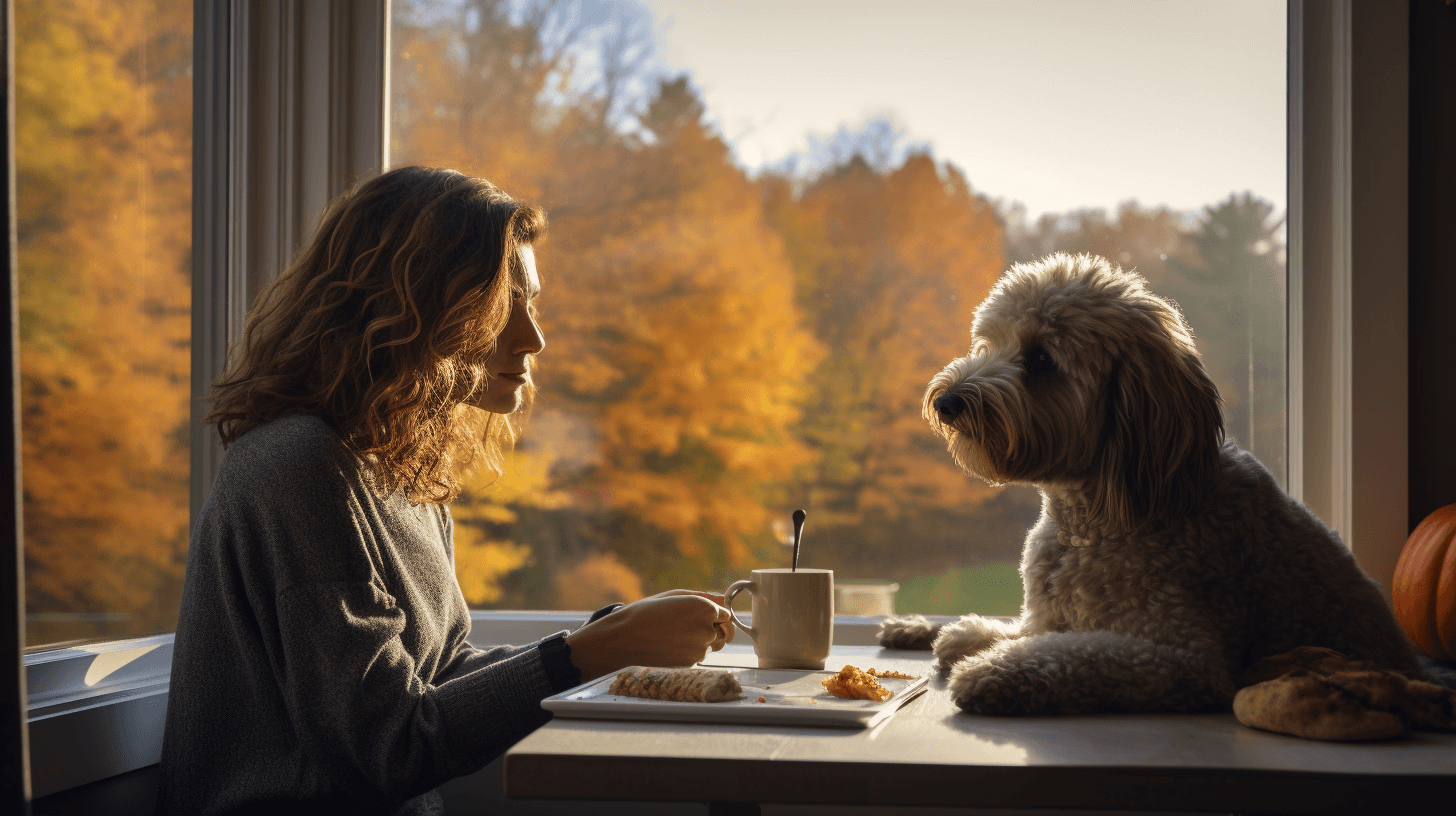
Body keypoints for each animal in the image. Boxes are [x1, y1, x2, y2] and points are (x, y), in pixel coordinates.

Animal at [873, 253, 1421, 714]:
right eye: (989, 344)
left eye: (1042, 360)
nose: (946, 401)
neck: (1092, 515)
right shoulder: (1047, 615)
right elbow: (1025, 627)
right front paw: (944, 630)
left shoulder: (1180, 654)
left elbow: (1070, 653)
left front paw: (989, 668)